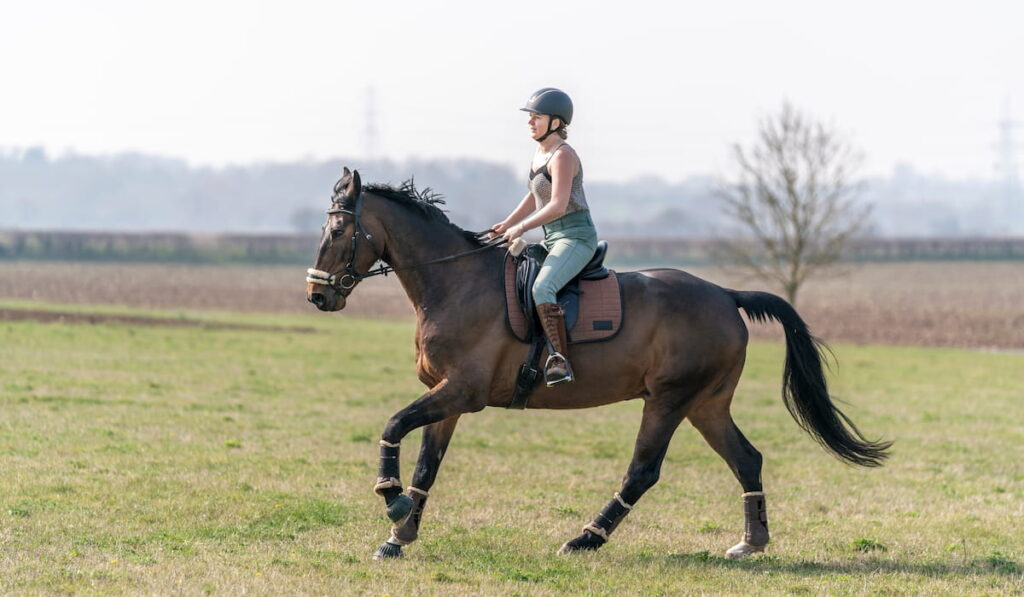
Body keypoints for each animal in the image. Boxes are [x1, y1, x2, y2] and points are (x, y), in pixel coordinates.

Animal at [303, 167, 888, 561]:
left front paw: (390, 500)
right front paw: (399, 534)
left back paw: (586, 537)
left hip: (669, 400)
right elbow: (427, 464)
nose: (317, 296)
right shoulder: (447, 396)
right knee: (747, 459)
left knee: (643, 471)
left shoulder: (461, 391)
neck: (455, 282)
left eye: (338, 232)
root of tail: (725, 294)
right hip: (706, 404)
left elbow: (392, 424)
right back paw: (750, 543)